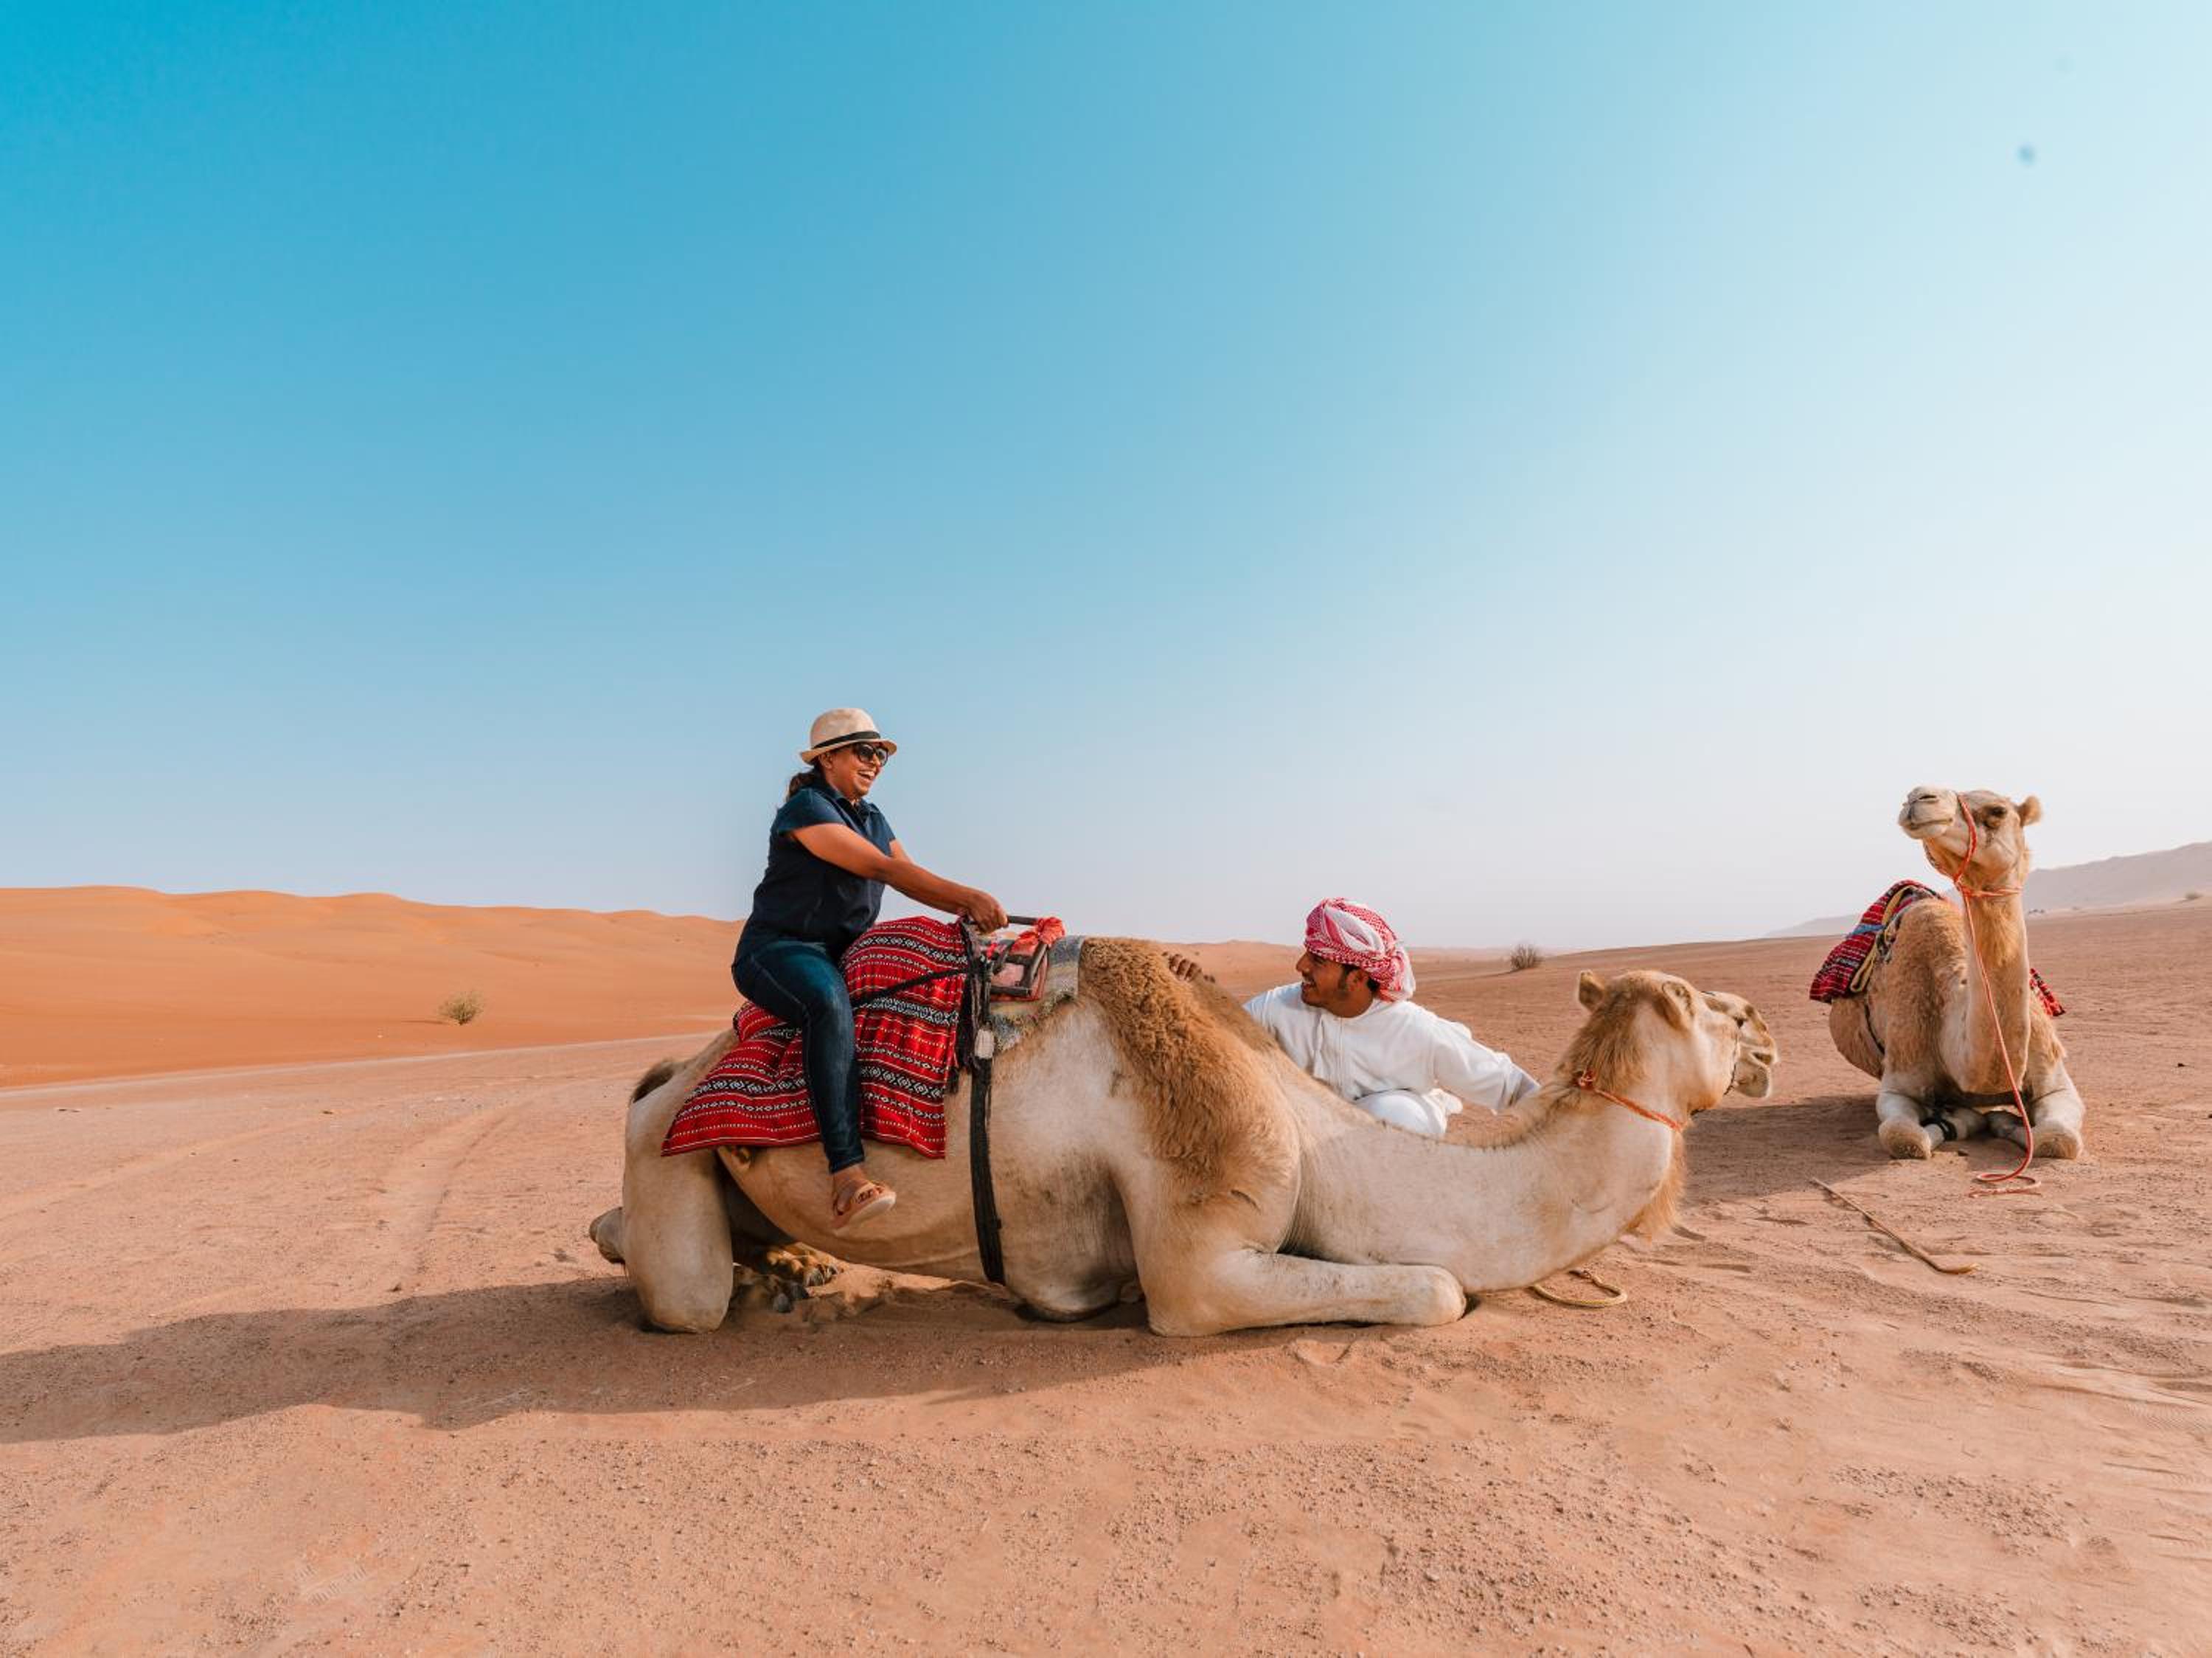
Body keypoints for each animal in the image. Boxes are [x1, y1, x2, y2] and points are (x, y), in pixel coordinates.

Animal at [589, 942, 1776, 1337]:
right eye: (1710, 1010)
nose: (1767, 1032)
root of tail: (674, 1076)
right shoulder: (1202, 1258)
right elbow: (1439, 1287)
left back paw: (794, 1268)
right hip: (664, 1149)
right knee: (686, 1293)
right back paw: (758, 1288)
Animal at [1828, 786, 2087, 1161]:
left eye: (1997, 811)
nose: (1918, 797)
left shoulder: (2055, 1080)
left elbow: (2056, 1139)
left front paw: (2004, 1122)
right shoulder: (1900, 1078)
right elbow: (1904, 1138)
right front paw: (1960, 1119)